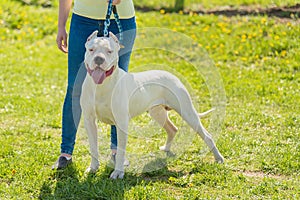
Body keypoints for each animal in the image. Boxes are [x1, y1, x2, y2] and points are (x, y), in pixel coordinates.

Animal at [81, 31, 224, 180]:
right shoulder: (89, 121)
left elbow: (120, 150)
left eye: (110, 51)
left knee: (207, 135)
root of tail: (172, 75)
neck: (101, 86)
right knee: (172, 129)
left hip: (187, 112)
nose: (98, 59)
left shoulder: (121, 122)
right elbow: (93, 147)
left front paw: (118, 172)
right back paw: (166, 149)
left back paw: (219, 158)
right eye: (91, 50)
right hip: (157, 112)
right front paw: (93, 168)